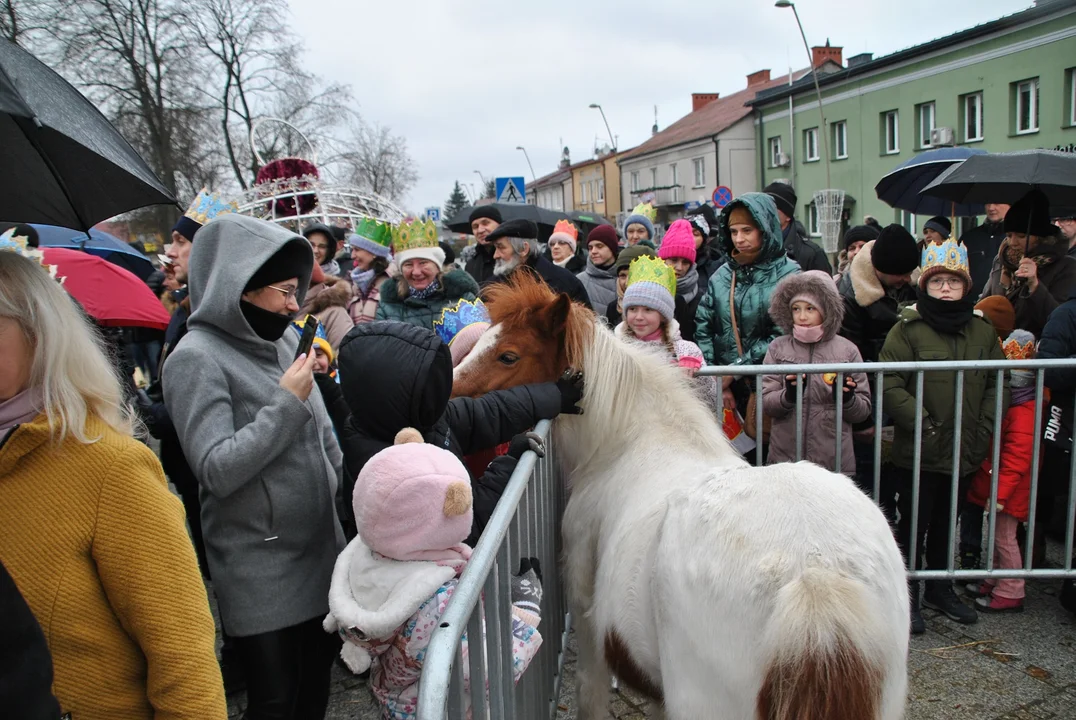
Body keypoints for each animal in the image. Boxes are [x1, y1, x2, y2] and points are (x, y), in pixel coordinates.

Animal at [451, 275, 908, 718]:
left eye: (508, 356)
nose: (450, 396)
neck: (630, 441)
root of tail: (814, 573)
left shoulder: (588, 617)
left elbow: (591, 692)